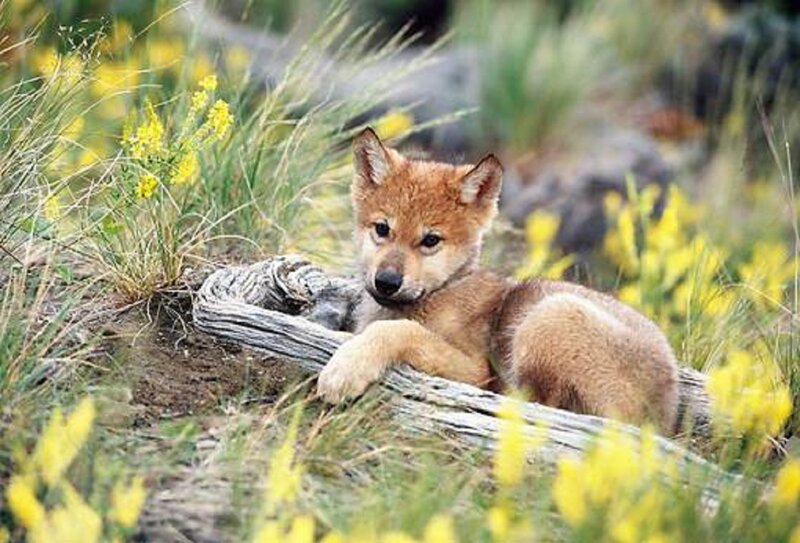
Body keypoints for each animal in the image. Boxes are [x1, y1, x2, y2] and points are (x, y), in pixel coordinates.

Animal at [316, 128, 679, 433]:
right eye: (382, 228)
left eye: (431, 240)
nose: (387, 281)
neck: (443, 291)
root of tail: (664, 414)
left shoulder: (475, 370)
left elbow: (397, 330)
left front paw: (345, 369)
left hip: (551, 315)